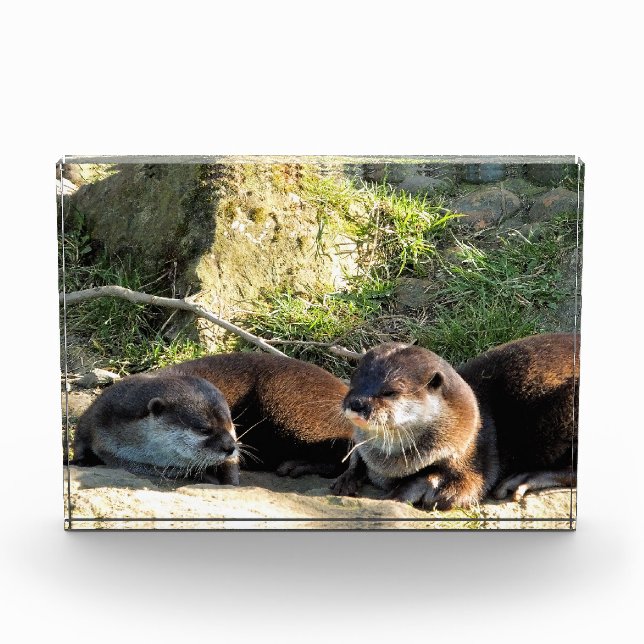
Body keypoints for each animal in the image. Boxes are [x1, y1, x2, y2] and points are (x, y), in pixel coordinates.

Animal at [332, 333, 578, 510]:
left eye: (390, 392)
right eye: (354, 381)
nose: (356, 403)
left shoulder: (476, 455)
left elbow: (465, 488)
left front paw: (408, 491)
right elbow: (356, 458)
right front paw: (346, 478)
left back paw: (525, 478)